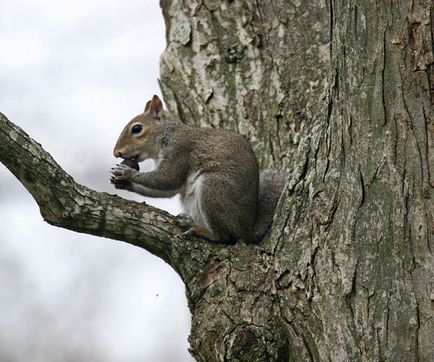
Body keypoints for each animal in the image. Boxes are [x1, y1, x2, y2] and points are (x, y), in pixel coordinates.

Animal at [110, 94, 284, 245]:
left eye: (137, 129)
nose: (116, 153)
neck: (168, 134)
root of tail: (246, 230)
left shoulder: (180, 151)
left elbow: (167, 179)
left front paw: (128, 173)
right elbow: (167, 189)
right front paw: (124, 183)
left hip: (214, 189)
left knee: (225, 237)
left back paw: (203, 231)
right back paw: (188, 222)